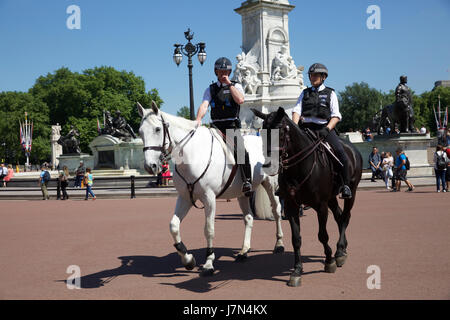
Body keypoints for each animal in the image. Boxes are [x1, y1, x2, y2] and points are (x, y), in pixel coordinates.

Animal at [137, 102, 284, 276]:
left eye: (158, 129)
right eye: (140, 132)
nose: (150, 166)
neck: (193, 155)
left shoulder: (209, 198)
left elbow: (209, 229)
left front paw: (208, 262)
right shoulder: (185, 197)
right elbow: (173, 226)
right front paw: (187, 259)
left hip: (271, 185)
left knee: (276, 210)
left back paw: (279, 244)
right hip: (242, 193)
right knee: (248, 218)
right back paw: (244, 251)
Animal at [251, 108, 364, 288]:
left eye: (280, 131)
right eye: (262, 131)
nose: (268, 165)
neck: (299, 168)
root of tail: (352, 149)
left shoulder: (321, 205)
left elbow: (322, 235)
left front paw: (329, 261)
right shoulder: (291, 207)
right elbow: (296, 239)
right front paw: (297, 270)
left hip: (350, 192)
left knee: (346, 216)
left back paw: (339, 251)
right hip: (331, 198)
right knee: (339, 217)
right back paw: (342, 249)